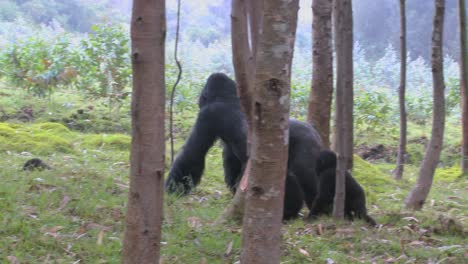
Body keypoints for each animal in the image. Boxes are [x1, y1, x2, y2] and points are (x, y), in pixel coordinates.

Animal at [166, 72, 324, 221]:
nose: (199, 101)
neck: (228, 98)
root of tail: (314, 133)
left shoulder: (208, 114)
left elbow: (192, 154)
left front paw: (172, 191)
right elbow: (231, 163)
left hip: (304, 145)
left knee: (304, 174)